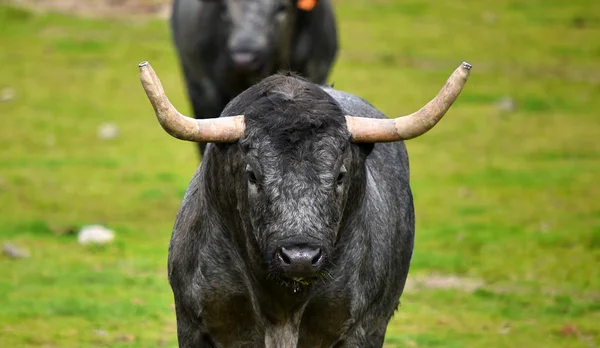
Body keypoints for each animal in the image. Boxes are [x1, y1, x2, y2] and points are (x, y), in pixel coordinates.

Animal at [138, 59, 472, 346]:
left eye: (339, 176)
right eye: (252, 175)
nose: (300, 257)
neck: (283, 302)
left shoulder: (362, 329)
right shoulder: (194, 324)